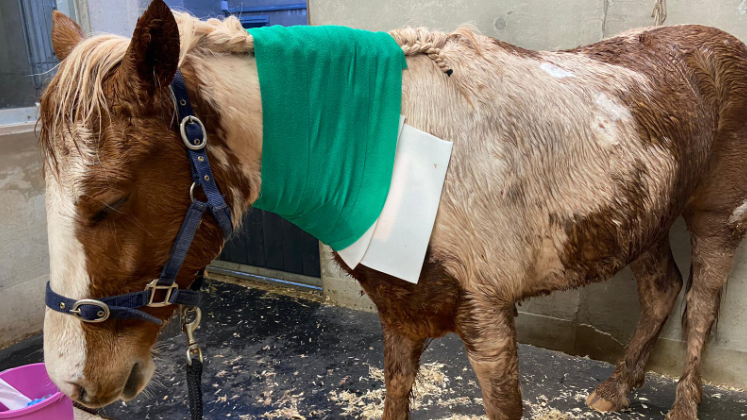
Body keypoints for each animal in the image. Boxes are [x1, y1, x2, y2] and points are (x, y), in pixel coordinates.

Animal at [39, 1, 747, 418]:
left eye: (110, 202)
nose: (75, 381)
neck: (403, 151)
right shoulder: (401, 319)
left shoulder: (491, 328)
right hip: (647, 218)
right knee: (661, 292)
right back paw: (616, 389)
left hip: (714, 218)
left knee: (700, 304)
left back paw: (682, 406)